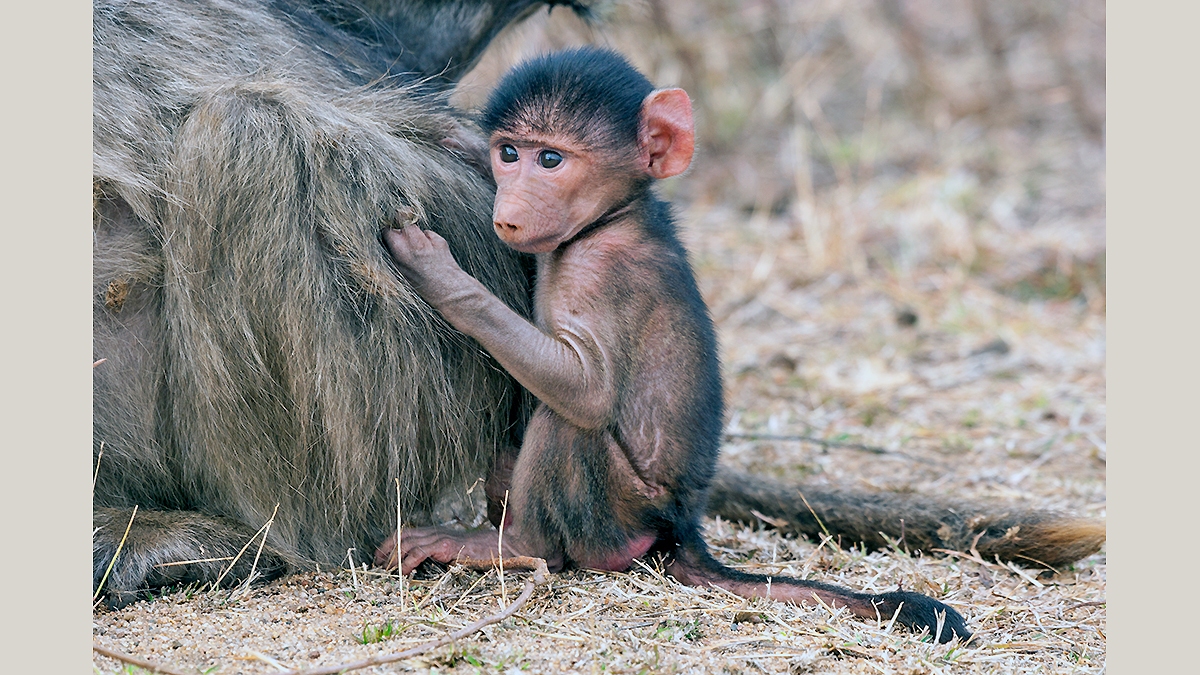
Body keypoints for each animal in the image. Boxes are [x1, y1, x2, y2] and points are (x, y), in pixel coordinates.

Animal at [377, 47, 971, 642]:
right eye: (508, 153)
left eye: (550, 159)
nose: (511, 210)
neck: (611, 219)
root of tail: (680, 526)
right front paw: (457, 139)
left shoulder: (603, 275)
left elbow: (587, 391)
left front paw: (440, 276)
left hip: (619, 512)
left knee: (570, 425)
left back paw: (512, 544)